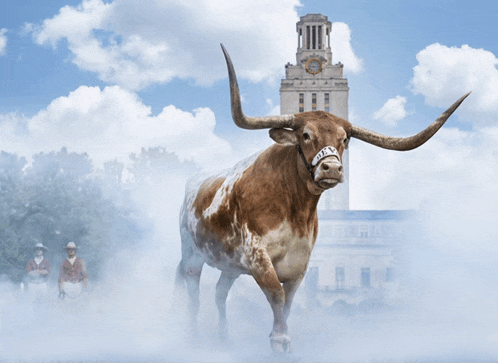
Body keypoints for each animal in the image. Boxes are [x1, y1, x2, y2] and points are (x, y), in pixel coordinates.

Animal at [176, 44, 470, 354]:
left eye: (345, 139)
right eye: (305, 135)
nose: (332, 168)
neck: (294, 207)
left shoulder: (300, 264)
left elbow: (289, 302)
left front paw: (282, 337)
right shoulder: (257, 256)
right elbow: (277, 295)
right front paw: (279, 339)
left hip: (229, 265)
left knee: (219, 294)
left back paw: (223, 339)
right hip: (192, 256)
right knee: (194, 297)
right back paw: (194, 338)